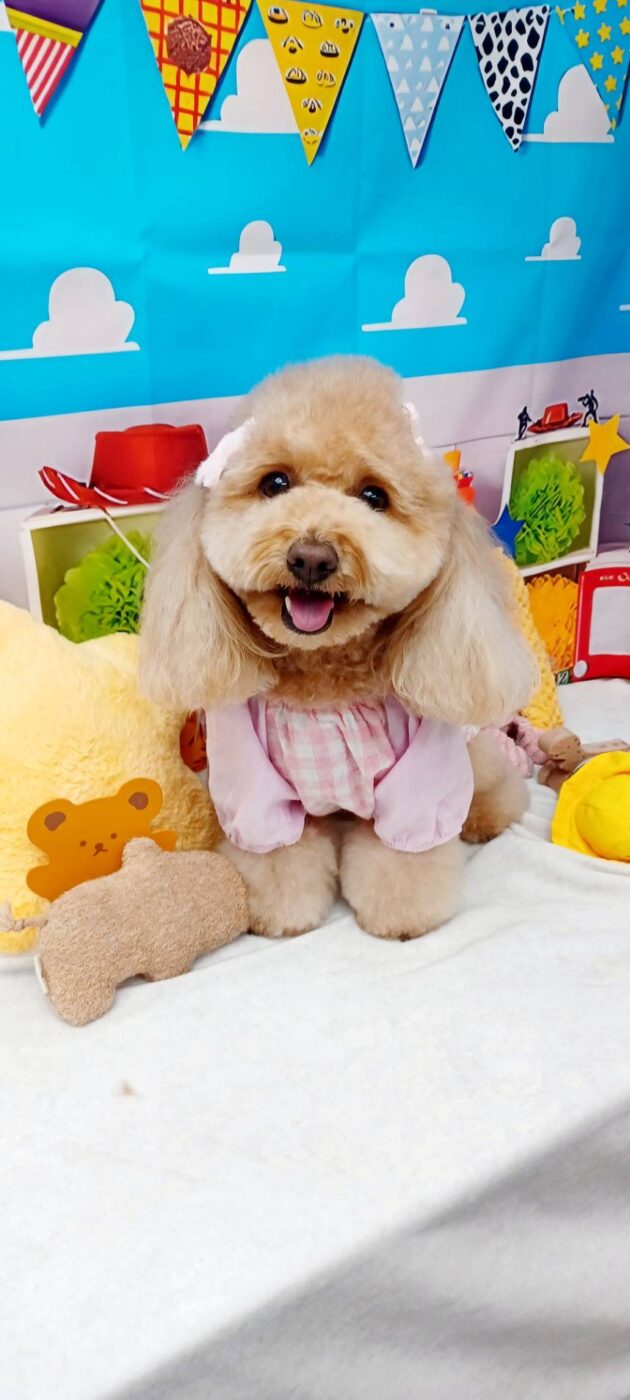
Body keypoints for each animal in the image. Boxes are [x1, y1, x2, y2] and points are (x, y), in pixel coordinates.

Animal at [140, 356, 536, 940]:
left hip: (470, 757)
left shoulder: (422, 776)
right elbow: (277, 853)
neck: (325, 681)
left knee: (493, 779)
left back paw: (488, 815)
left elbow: (404, 854)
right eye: (275, 482)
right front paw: (278, 914)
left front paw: (402, 918)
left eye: (374, 497)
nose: (311, 557)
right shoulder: (251, 779)